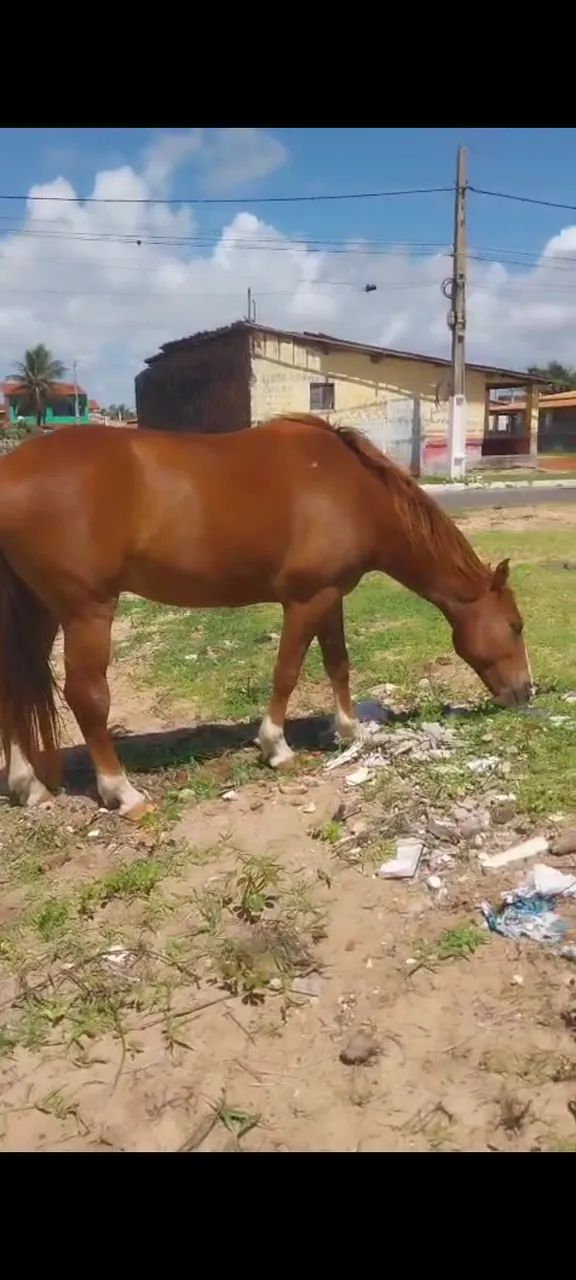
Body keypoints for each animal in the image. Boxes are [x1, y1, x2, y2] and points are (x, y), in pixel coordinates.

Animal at [0, 412, 532, 821]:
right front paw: (276, 747)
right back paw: (123, 792)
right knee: (87, 698)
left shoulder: (330, 596)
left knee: (15, 690)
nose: (525, 692)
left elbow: (338, 663)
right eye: (515, 626)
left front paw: (350, 731)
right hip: (86, 611)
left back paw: (28, 785)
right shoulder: (305, 600)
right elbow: (287, 672)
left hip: (40, 611)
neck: (354, 490)